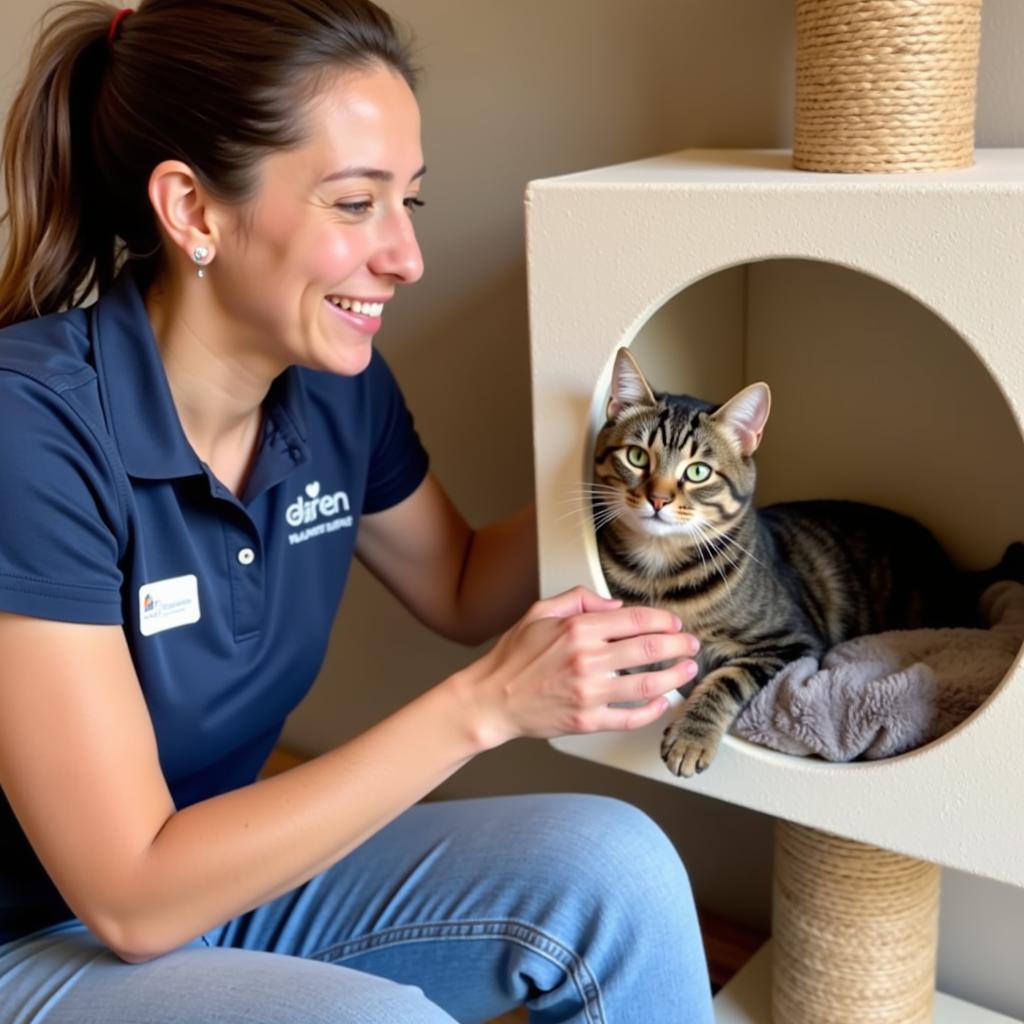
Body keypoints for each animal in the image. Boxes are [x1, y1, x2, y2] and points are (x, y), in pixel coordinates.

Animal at [593, 346, 1015, 774]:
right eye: (636, 456)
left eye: (697, 472)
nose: (658, 499)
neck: (659, 569)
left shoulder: (791, 641)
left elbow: (727, 679)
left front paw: (691, 738)